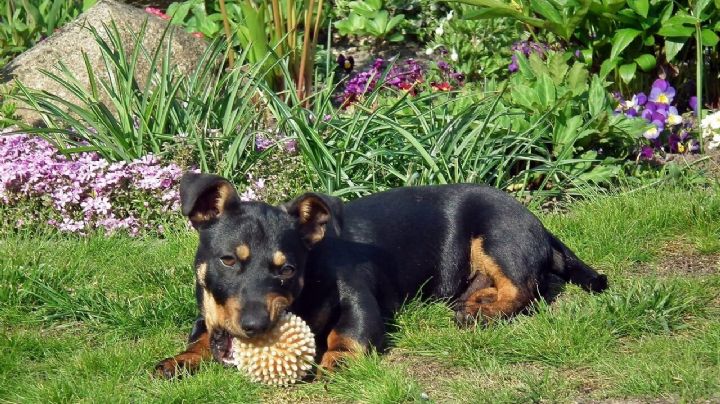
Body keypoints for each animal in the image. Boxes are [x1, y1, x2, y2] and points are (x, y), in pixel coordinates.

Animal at [153, 174, 608, 378]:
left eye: (288, 269)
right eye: (228, 260)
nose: (254, 326)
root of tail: (539, 224)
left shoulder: (359, 294)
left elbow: (348, 332)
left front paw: (336, 362)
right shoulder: (208, 313)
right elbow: (200, 334)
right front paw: (179, 360)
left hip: (497, 234)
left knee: (527, 287)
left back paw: (482, 312)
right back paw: (476, 302)